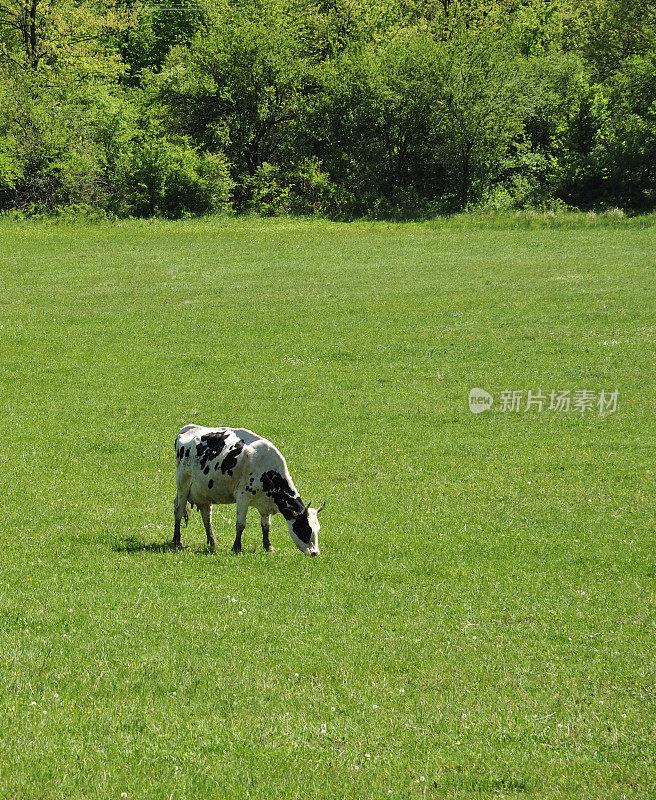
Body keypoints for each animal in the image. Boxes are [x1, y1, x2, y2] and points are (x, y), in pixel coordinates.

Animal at [170, 424, 322, 556]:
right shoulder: (243, 497)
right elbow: (241, 524)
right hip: (183, 484)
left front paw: (269, 547)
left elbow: (266, 525)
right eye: (305, 528)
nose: (315, 553)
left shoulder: (265, 504)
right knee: (178, 510)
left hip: (204, 492)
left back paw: (214, 542)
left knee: (207, 517)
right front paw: (237, 548)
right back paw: (177, 541)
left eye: (317, 529)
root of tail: (190, 428)